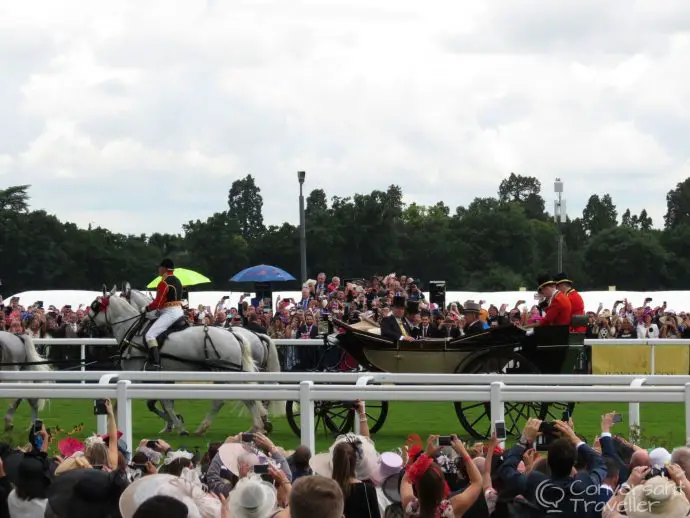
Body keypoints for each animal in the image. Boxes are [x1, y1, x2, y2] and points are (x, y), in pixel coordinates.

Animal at [88, 286, 282, 436]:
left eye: (94, 306)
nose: (88, 324)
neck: (135, 331)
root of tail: (235, 335)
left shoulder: (135, 376)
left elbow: (120, 404)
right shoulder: (163, 378)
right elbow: (163, 402)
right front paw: (173, 424)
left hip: (228, 375)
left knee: (244, 399)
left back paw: (256, 426)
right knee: (227, 400)